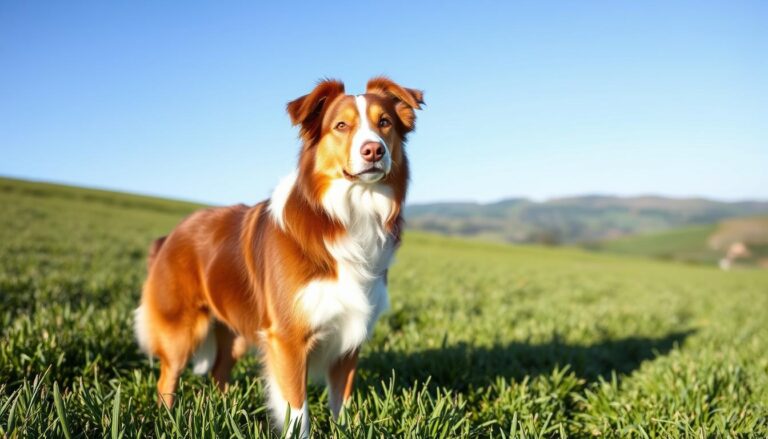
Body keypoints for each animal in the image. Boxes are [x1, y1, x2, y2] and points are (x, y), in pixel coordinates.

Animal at [132, 76, 420, 436]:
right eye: (341, 126)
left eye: (384, 123)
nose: (374, 150)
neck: (347, 215)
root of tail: (169, 236)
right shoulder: (288, 338)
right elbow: (297, 410)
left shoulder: (349, 339)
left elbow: (341, 405)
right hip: (181, 330)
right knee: (167, 380)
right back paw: (168, 420)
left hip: (236, 329)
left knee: (219, 371)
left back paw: (224, 413)